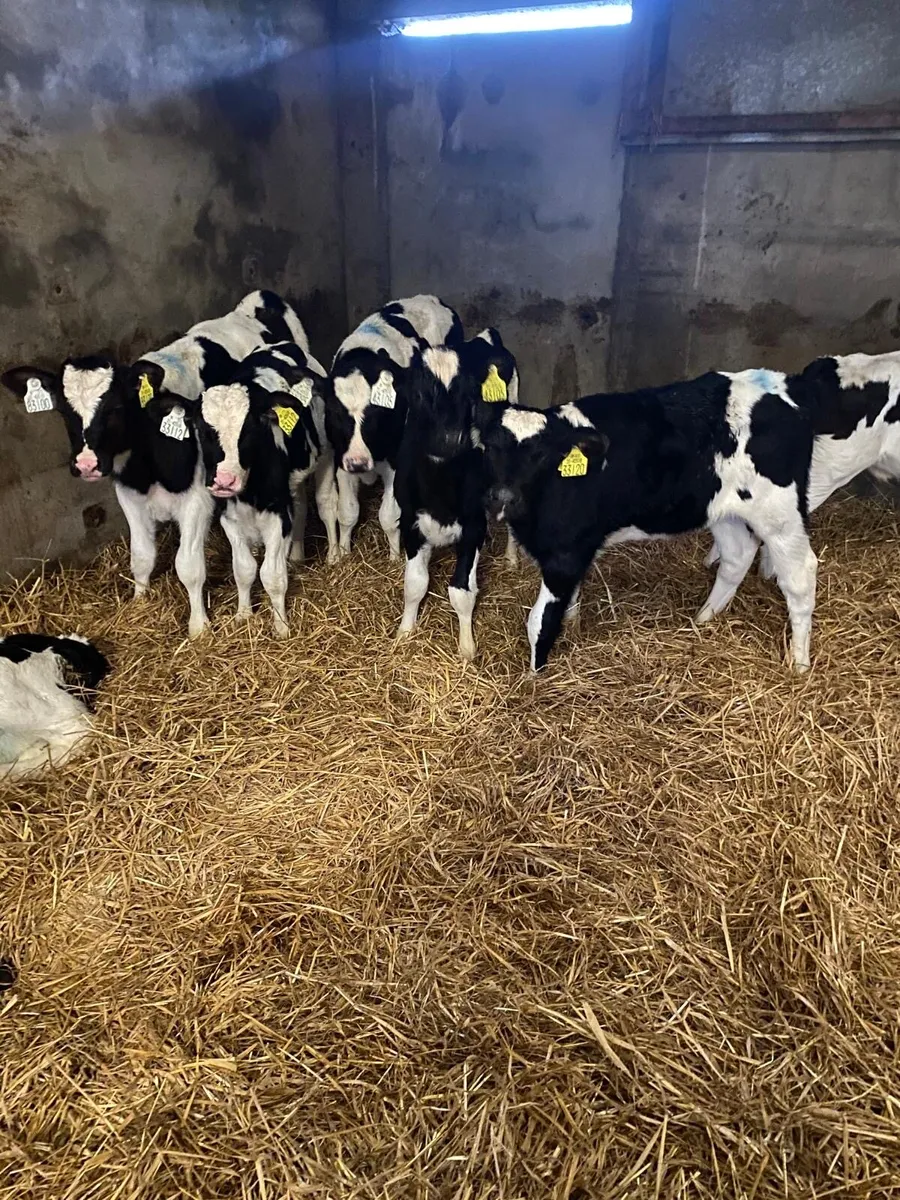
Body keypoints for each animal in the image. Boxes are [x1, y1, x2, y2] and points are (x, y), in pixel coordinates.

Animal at [3, 291, 309, 637]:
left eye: (116, 408)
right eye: (64, 411)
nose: (86, 464)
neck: (147, 464)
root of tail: (259, 300)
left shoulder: (198, 501)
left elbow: (188, 566)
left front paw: (199, 626)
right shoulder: (130, 495)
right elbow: (141, 556)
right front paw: (139, 602)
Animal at [185, 341, 338, 637]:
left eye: (250, 428)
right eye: (202, 428)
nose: (224, 480)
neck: (249, 493)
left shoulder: (276, 515)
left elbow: (272, 576)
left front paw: (281, 625)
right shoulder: (229, 518)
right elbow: (244, 569)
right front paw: (244, 614)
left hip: (326, 455)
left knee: (326, 504)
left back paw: (335, 555)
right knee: (300, 507)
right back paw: (297, 556)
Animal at [324, 295, 463, 559]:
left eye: (378, 412)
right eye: (336, 414)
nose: (358, 462)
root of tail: (431, 298)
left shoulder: (397, 463)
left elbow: (388, 517)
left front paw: (395, 556)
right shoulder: (341, 458)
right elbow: (347, 511)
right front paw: (344, 553)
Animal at [478, 368, 817, 673]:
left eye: (541, 455)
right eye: (489, 447)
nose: (503, 497)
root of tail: (781, 389)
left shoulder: (565, 555)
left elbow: (540, 620)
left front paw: (534, 677)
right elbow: (570, 603)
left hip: (780, 514)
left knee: (800, 576)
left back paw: (800, 663)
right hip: (723, 511)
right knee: (737, 555)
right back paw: (703, 619)